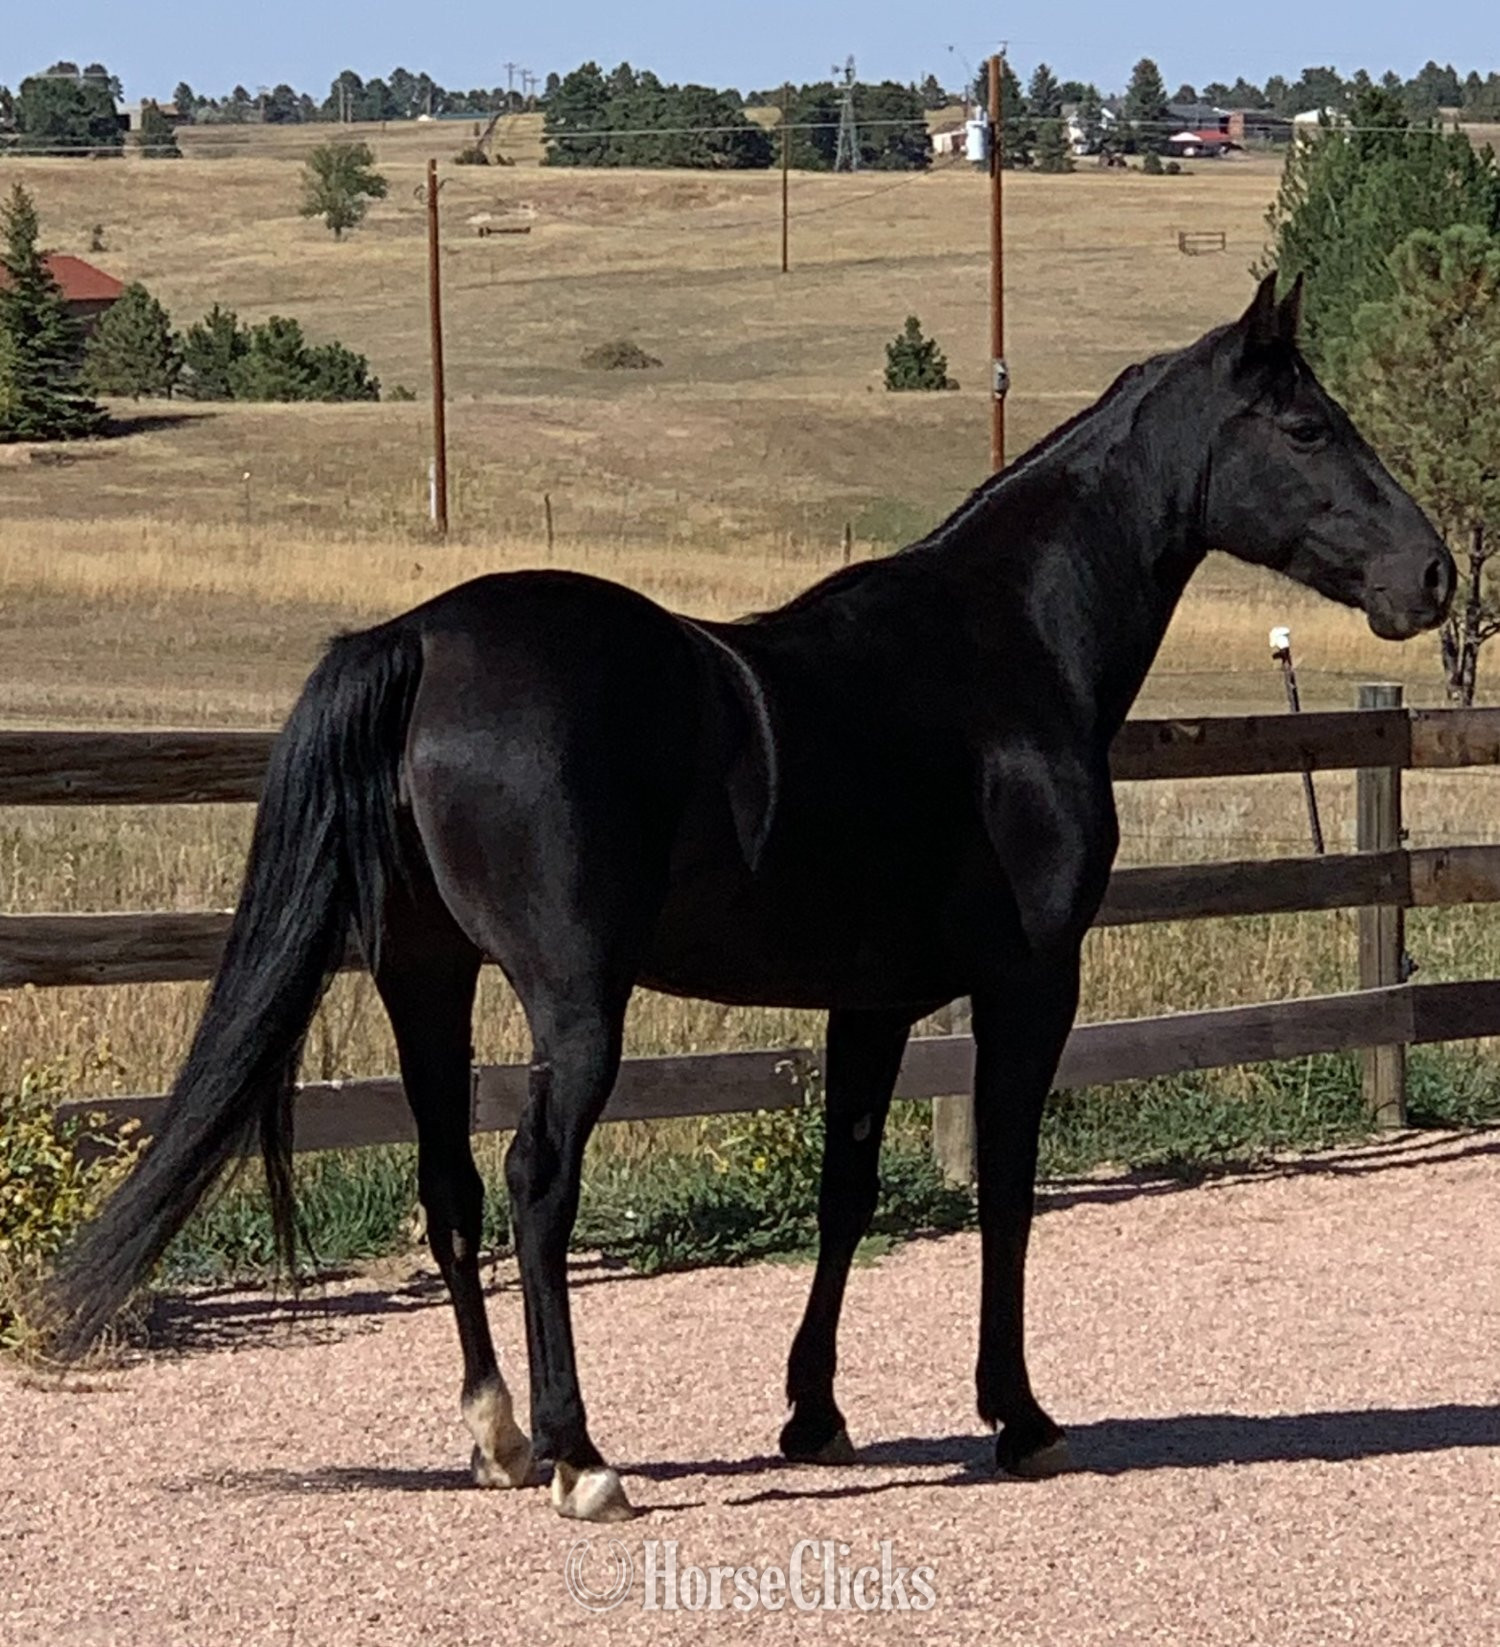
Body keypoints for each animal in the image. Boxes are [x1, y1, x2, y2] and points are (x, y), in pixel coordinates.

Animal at [43, 273, 1453, 1523]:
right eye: (1310, 428)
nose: (1433, 577)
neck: (1005, 647)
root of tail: (425, 640)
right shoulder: (1029, 986)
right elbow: (1005, 1185)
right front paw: (1020, 1417)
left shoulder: (872, 1006)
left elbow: (848, 1188)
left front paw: (814, 1413)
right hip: (573, 1003)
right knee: (534, 1181)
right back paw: (580, 1457)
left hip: (424, 982)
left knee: (448, 1186)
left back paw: (499, 1439)